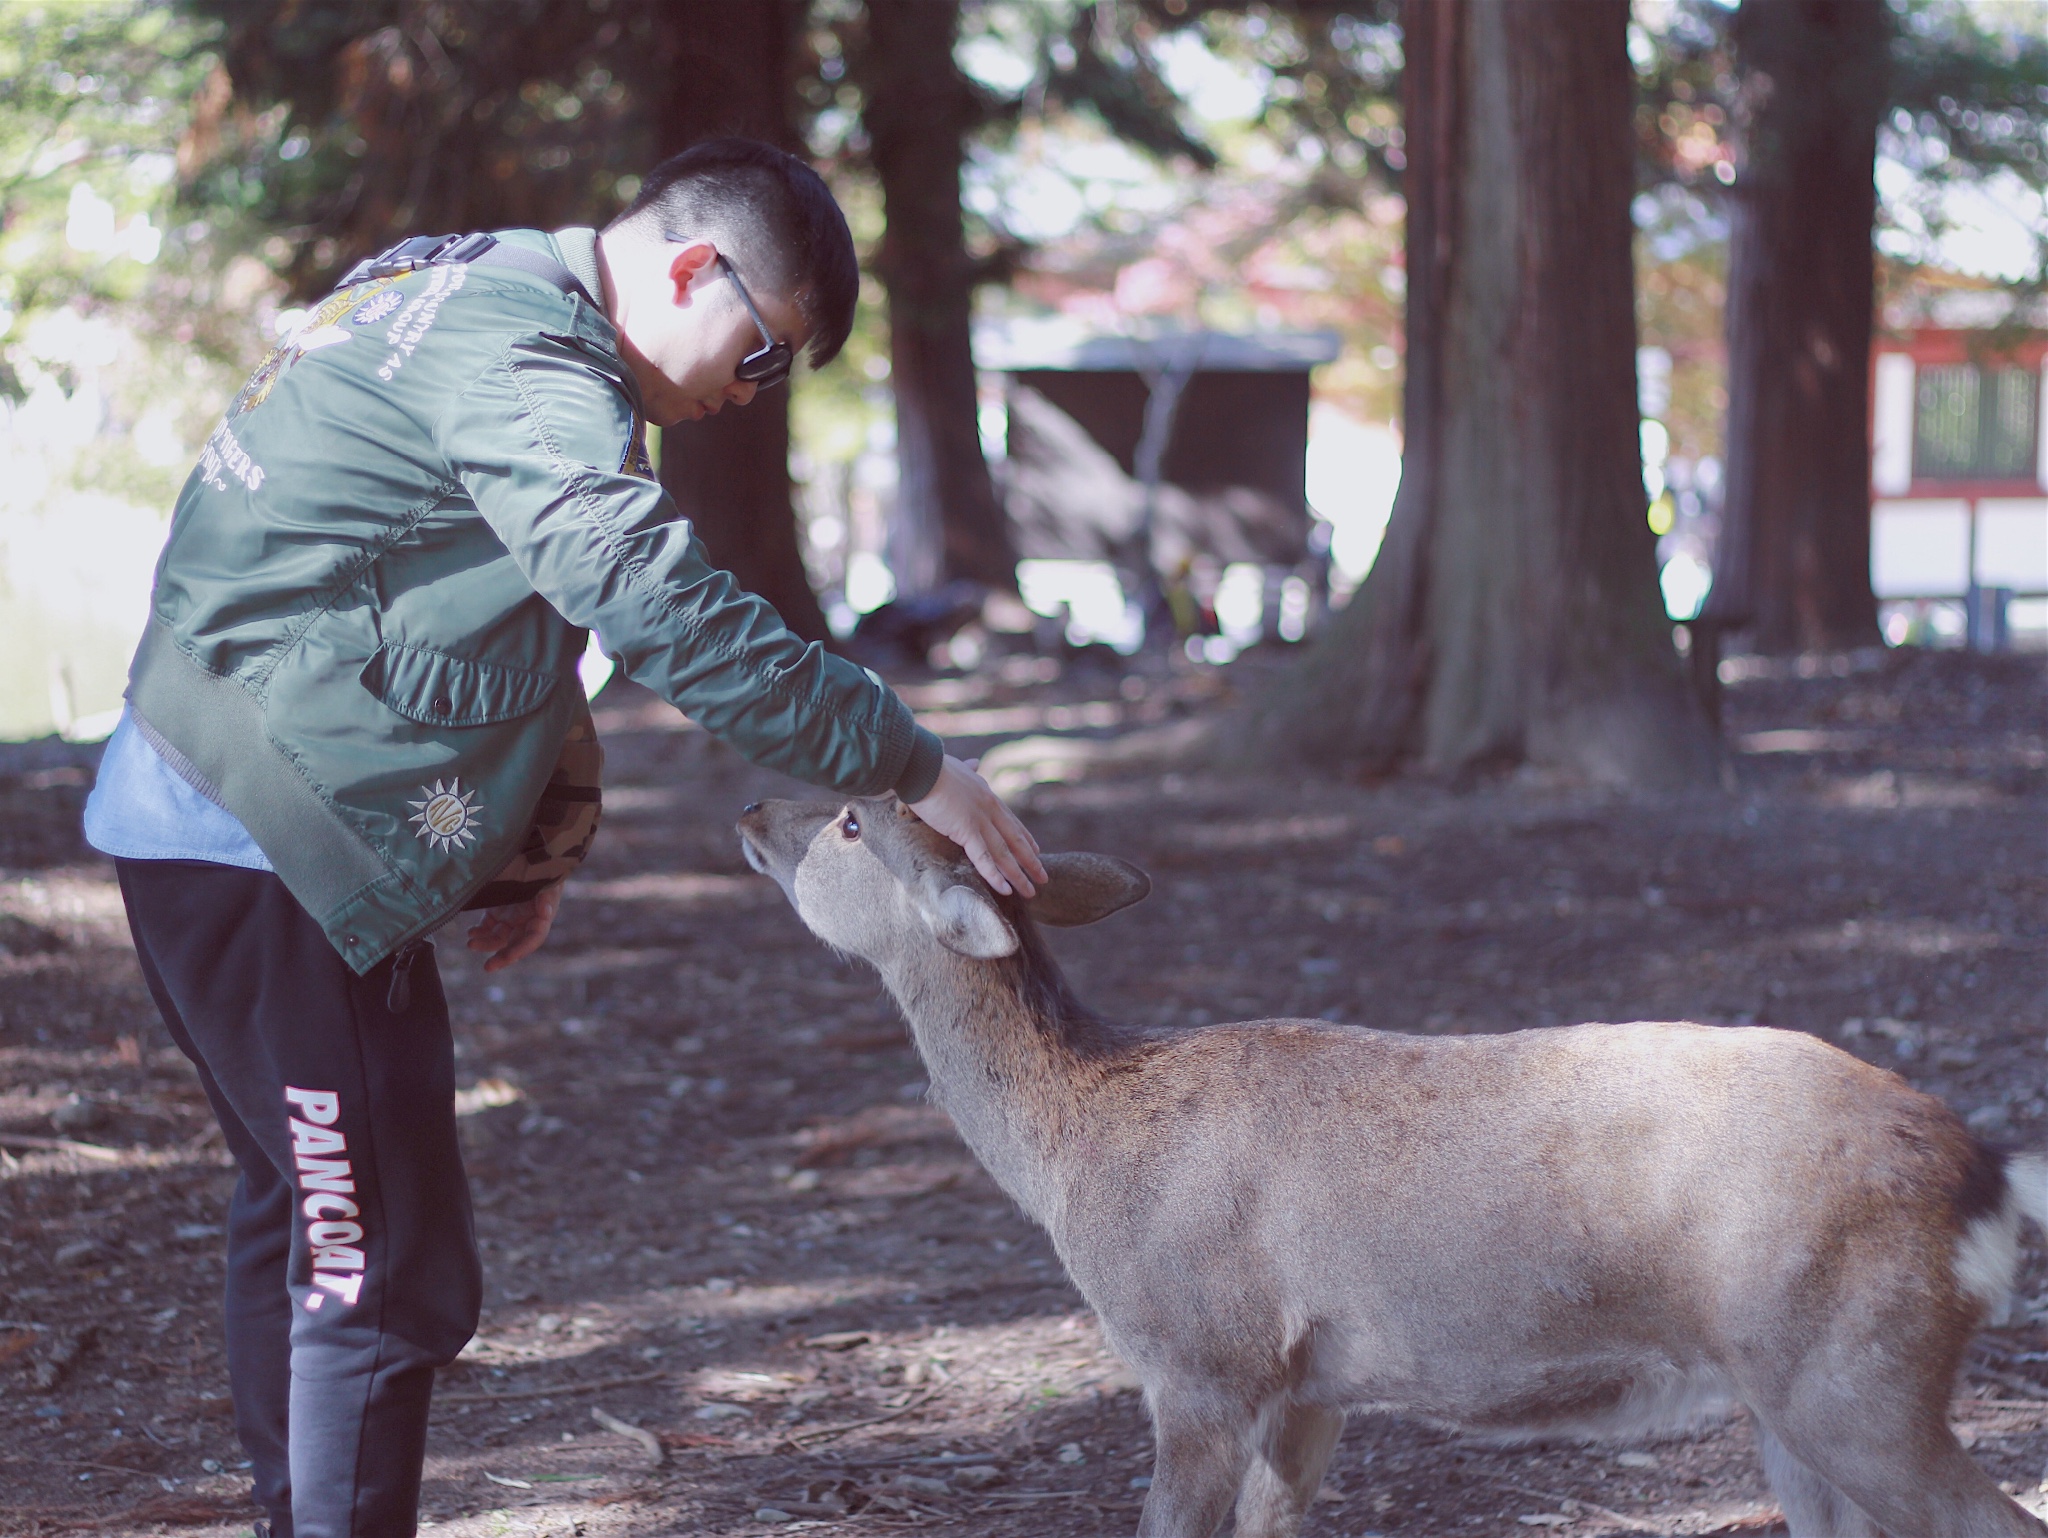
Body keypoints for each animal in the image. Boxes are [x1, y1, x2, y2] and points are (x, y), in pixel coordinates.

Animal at [737, 794, 2048, 1538]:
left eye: (851, 817)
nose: (750, 803)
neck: (1078, 1152)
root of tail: (1982, 1170)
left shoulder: (1198, 1352)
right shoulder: (1308, 1382)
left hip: (1852, 1369)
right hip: (1798, 1395)